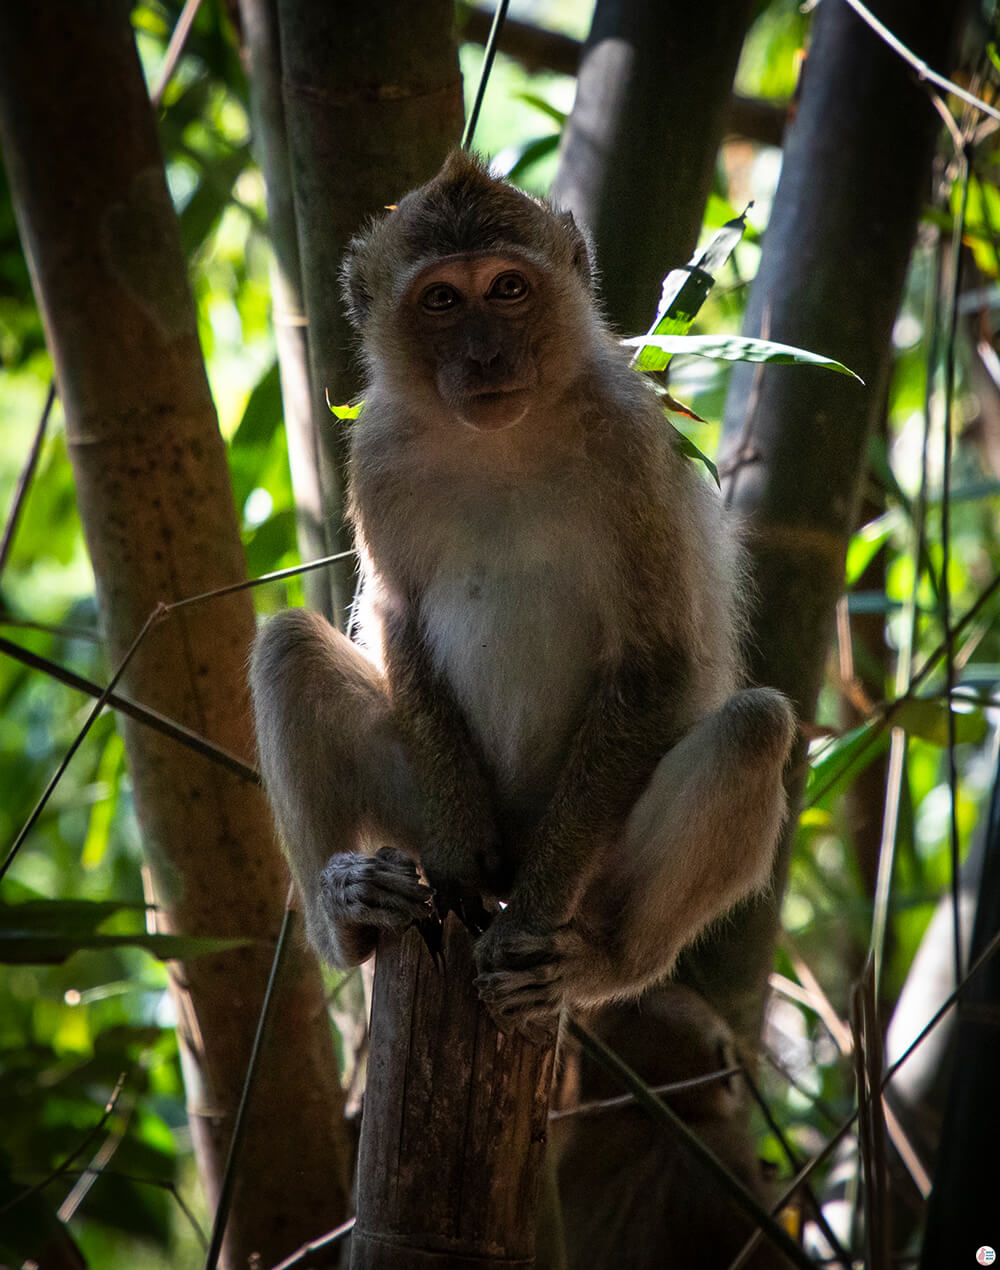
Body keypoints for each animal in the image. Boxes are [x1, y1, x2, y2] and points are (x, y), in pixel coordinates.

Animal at [252, 151, 797, 1041]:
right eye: (443, 299)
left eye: (508, 288)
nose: (484, 357)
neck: (502, 440)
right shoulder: (377, 452)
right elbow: (399, 621)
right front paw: (453, 853)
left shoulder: (628, 444)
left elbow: (655, 659)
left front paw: (532, 925)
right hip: (409, 808)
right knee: (288, 646)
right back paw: (351, 914)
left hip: (597, 860)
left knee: (756, 728)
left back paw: (598, 960)